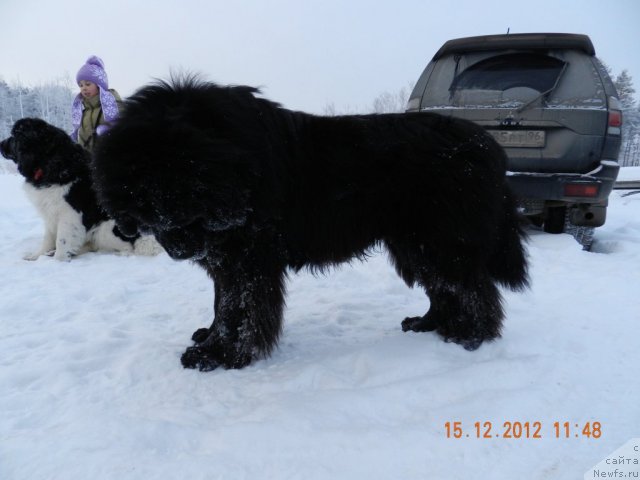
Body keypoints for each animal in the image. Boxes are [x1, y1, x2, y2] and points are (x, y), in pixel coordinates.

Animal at [0, 120, 160, 262]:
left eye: (14, 136)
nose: (1, 144)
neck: (49, 162)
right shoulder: (50, 210)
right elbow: (49, 237)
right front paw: (37, 255)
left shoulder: (69, 213)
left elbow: (62, 240)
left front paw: (58, 261)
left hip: (107, 227)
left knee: (129, 247)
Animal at [91, 79, 528, 372]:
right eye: (144, 200)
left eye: (183, 192)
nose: (180, 249)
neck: (235, 167)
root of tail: (488, 145)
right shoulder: (226, 257)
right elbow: (222, 303)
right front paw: (209, 338)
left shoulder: (247, 260)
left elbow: (238, 308)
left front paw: (220, 355)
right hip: (414, 243)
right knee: (444, 288)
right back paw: (429, 324)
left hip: (441, 240)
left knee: (472, 289)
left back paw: (470, 337)